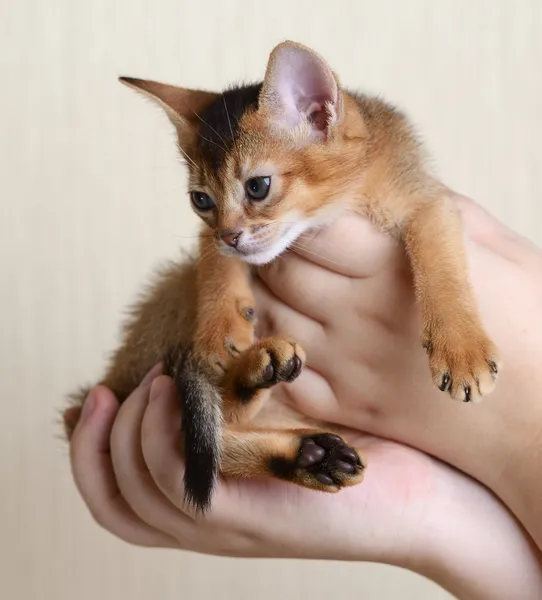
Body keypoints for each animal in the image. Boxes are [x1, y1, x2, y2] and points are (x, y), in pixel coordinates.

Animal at [62, 39, 502, 512]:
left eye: (257, 186)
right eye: (201, 200)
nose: (230, 235)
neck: (352, 198)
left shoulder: (428, 200)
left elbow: (439, 261)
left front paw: (461, 350)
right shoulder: (211, 239)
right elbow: (214, 264)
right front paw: (220, 326)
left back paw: (310, 451)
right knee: (200, 433)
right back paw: (271, 393)